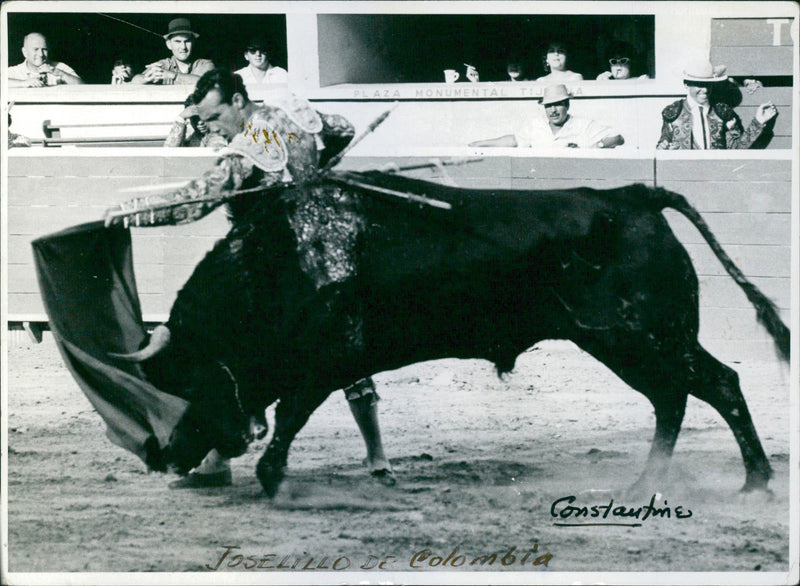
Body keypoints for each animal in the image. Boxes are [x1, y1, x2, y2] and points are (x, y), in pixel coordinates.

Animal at [123, 171, 788, 496]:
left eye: (183, 384)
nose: (167, 458)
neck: (279, 264)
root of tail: (633, 197)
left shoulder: (327, 359)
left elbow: (290, 414)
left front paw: (271, 478)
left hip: (644, 336)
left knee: (718, 384)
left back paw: (755, 482)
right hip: (625, 343)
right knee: (673, 398)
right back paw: (646, 482)